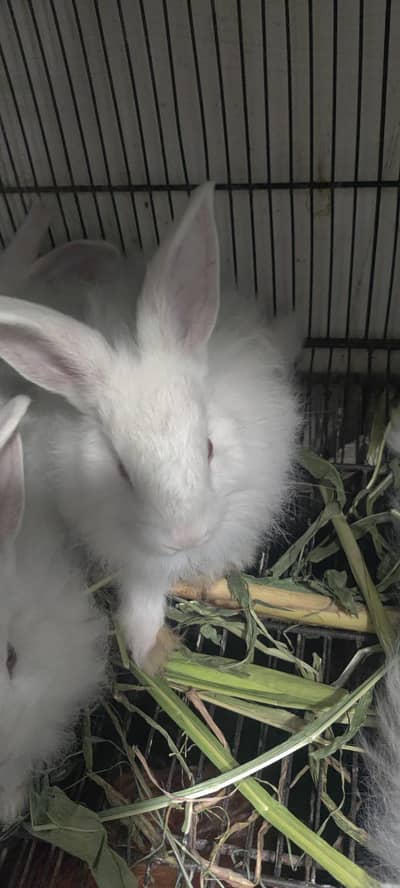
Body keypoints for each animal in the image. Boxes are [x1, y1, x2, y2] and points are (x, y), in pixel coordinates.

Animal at [0, 182, 302, 674]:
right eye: (122, 470)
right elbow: (141, 599)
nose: (187, 537)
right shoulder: (131, 556)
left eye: (209, 448)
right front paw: (148, 653)